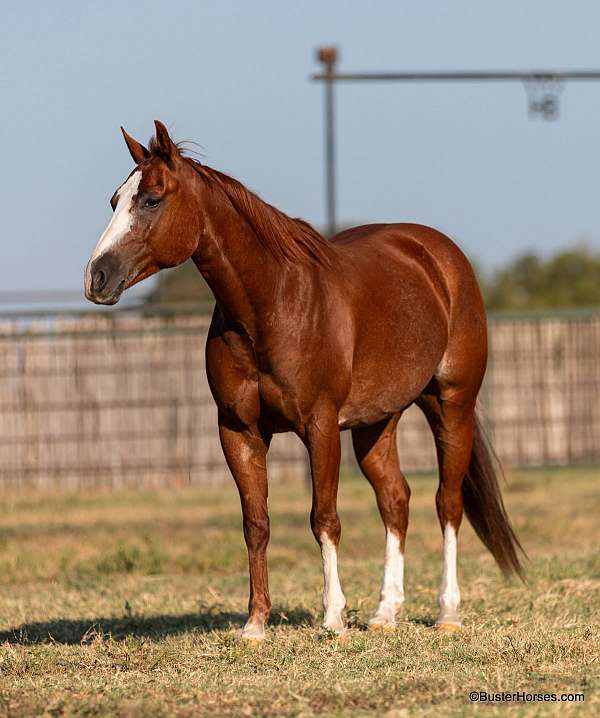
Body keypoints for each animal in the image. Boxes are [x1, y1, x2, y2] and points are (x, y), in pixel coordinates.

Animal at [85, 122, 524, 640]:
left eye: (152, 200)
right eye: (114, 200)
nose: (97, 277)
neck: (272, 303)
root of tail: (440, 256)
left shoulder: (320, 426)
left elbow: (324, 518)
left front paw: (332, 617)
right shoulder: (239, 431)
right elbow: (256, 522)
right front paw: (255, 624)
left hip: (450, 405)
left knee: (447, 503)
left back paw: (447, 612)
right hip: (377, 422)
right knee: (396, 500)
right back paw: (384, 613)